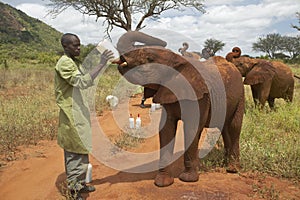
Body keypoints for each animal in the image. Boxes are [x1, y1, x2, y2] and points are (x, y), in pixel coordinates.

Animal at [113, 32, 245, 188]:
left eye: (149, 59)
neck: (179, 60)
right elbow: (166, 128)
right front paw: (162, 183)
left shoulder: (200, 97)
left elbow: (191, 129)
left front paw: (188, 179)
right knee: (225, 128)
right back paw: (225, 163)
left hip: (240, 94)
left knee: (234, 126)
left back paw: (232, 169)